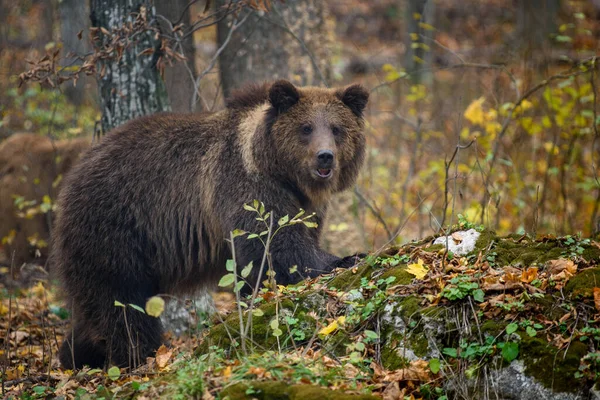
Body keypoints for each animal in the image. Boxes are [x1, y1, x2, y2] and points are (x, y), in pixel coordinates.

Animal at [52, 79, 370, 368]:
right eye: (305, 128)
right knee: (120, 299)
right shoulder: (246, 188)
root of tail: (74, 174)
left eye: (337, 128)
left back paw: (76, 354)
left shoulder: (308, 208)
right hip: (115, 225)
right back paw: (137, 354)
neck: (283, 174)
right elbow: (278, 247)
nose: (325, 156)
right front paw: (347, 257)